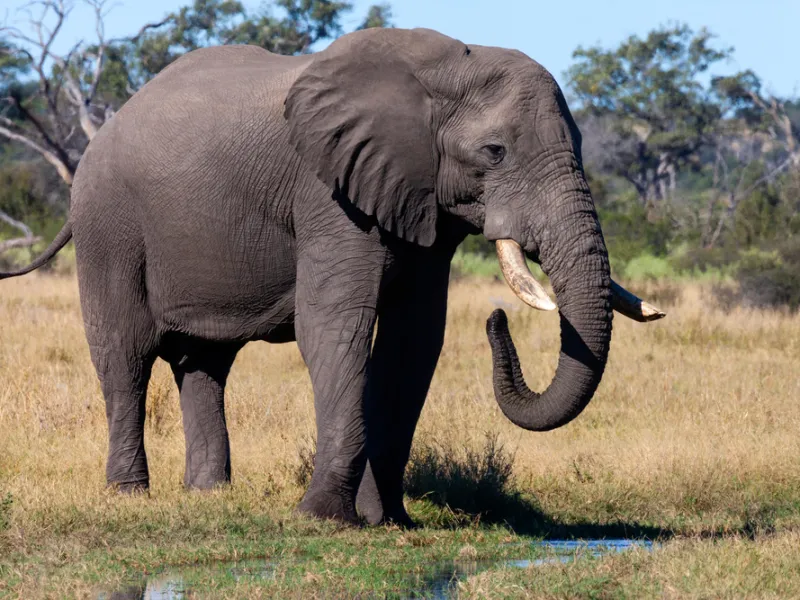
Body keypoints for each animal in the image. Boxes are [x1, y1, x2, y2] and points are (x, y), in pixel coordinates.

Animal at [0, 27, 664, 526]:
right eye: (495, 152)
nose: (496, 318)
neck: (446, 66)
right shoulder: (327, 194)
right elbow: (335, 328)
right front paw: (324, 518)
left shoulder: (417, 201)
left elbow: (413, 341)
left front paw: (390, 522)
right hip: (108, 227)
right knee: (125, 356)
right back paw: (129, 495)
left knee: (205, 364)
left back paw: (210, 496)